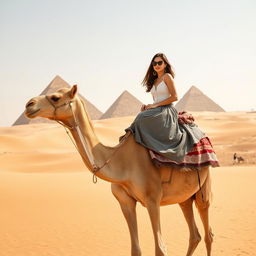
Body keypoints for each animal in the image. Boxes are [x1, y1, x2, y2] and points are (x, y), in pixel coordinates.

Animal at [25, 85, 214, 256]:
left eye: (55, 97)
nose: (29, 104)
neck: (120, 162)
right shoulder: (124, 201)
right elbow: (135, 250)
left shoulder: (152, 199)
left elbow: (160, 249)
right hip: (185, 197)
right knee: (195, 235)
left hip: (203, 190)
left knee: (208, 234)